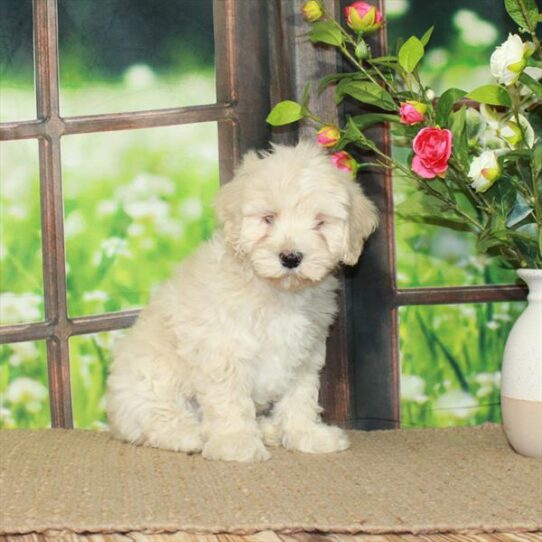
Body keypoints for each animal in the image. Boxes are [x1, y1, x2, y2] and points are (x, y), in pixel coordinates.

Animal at [106, 140, 378, 464]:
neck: (277, 291)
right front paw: (235, 442)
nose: (290, 257)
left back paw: (268, 429)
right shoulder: (224, 348)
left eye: (320, 223)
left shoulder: (305, 352)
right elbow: (230, 399)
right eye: (268, 218)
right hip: (150, 379)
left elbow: (300, 395)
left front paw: (306, 434)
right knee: (154, 418)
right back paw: (189, 434)